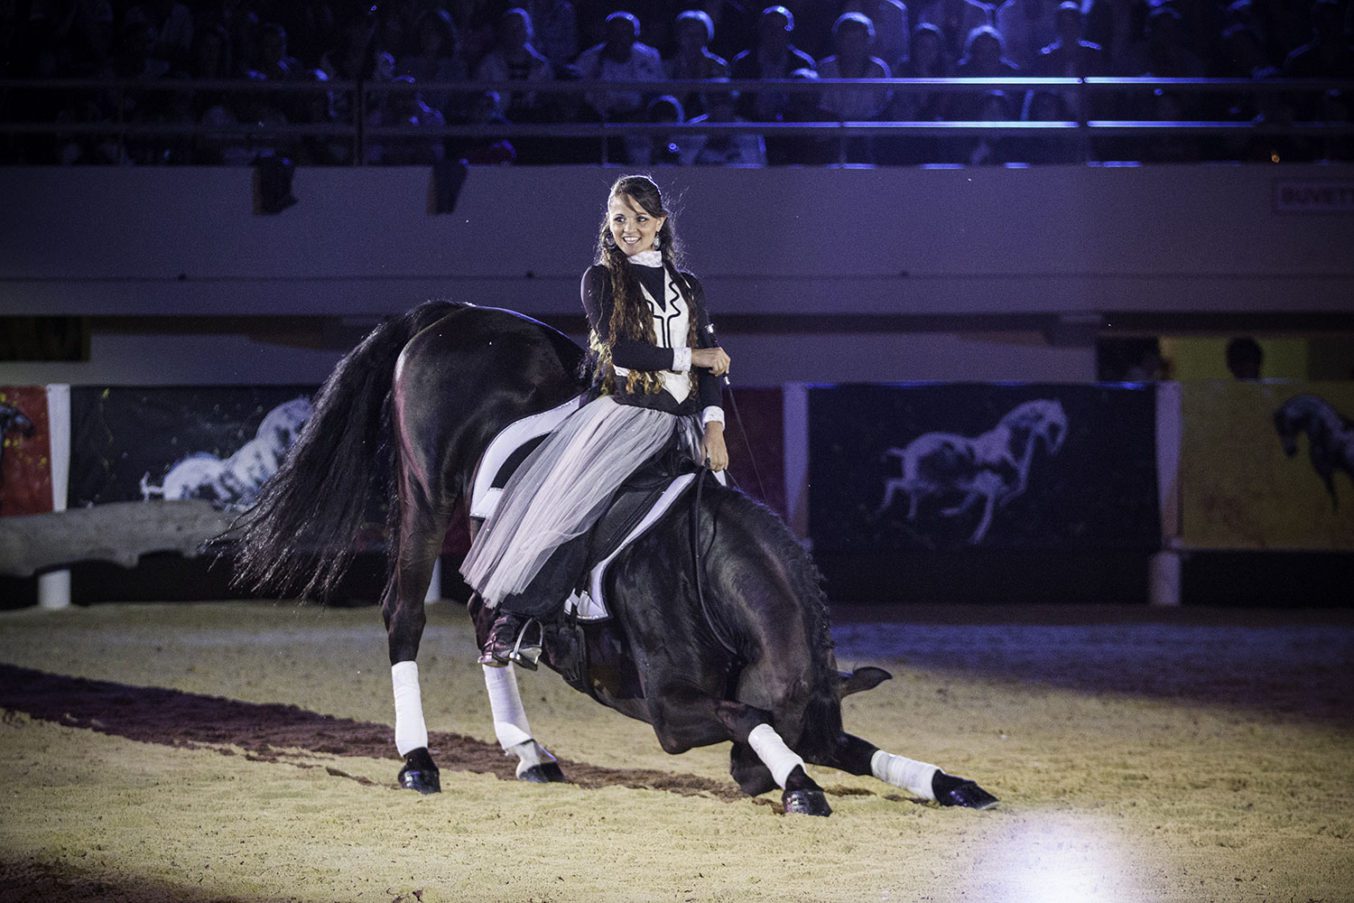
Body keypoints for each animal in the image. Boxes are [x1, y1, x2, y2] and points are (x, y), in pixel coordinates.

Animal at [227, 301, 998, 816]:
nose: (750, 781)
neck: (698, 565)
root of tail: (456, 314)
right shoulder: (668, 711)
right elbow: (741, 712)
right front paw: (801, 783)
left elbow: (863, 749)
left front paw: (949, 782)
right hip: (425, 492)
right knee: (405, 615)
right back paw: (418, 761)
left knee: (484, 617)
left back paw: (529, 752)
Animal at [876, 399, 1067, 544]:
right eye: (1054, 425)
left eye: (1063, 425)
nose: (1055, 451)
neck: (1009, 448)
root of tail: (907, 450)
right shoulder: (991, 489)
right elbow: (987, 514)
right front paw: (976, 538)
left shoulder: (984, 489)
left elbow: (971, 504)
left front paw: (953, 515)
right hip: (924, 482)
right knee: (893, 483)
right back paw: (887, 508)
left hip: (927, 484)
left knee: (910, 492)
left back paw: (911, 516)